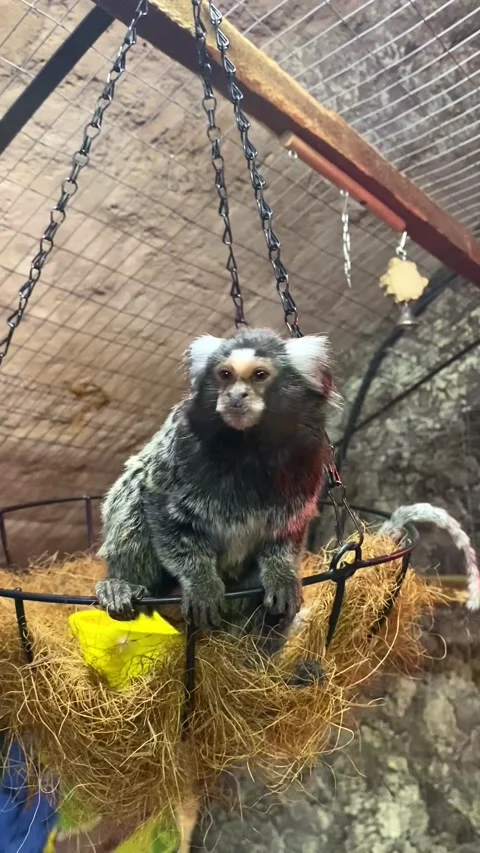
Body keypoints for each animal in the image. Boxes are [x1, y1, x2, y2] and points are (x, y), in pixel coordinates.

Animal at [96, 327, 338, 674]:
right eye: (225, 375)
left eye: (260, 375)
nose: (236, 396)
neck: (249, 448)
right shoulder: (182, 442)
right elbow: (163, 506)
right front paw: (200, 582)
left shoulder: (308, 456)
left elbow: (287, 528)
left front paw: (281, 574)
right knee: (134, 491)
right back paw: (121, 585)